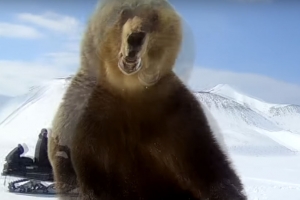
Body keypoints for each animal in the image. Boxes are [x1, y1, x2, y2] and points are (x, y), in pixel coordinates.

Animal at [48, 0, 246, 199]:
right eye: (123, 11)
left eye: (154, 17)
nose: (135, 37)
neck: (129, 88)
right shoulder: (87, 115)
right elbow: (87, 174)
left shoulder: (176, 117)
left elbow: (210, 169)